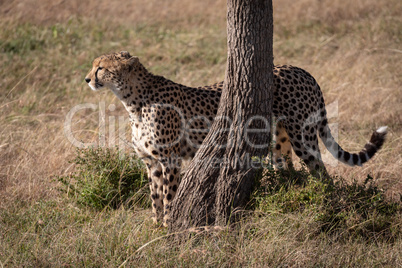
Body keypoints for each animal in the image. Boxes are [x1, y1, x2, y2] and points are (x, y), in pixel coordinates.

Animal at [84, 50, 386, 226]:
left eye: (101, 68)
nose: (86, 79)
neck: (133, 101)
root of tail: (300, 69)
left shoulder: (170, 161)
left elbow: (169, 199)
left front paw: (168, 232)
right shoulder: (152, 163)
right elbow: (155, 199)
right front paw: (155, 230)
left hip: (303, 137)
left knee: (322, 172)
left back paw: (328, 207)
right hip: (279, 143)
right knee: (288, 172)